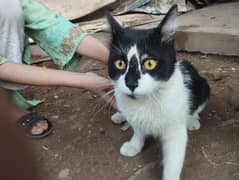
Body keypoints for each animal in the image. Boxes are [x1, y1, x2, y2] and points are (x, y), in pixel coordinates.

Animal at [106, 4, 209, 180]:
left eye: (149, 63)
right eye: (120, 63)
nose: (131, 83)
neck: (147, 100)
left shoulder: (175, 130)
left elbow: (173, 159)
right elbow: (138, 129)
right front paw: (134, 144)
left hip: (203, 86)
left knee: (196, 106)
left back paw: (191, 120)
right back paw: (120, 116)